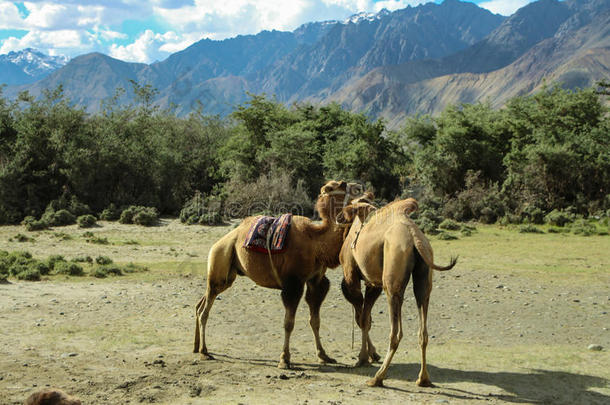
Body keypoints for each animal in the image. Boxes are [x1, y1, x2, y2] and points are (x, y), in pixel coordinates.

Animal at [192, 179, 358, 366]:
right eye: (337, 185)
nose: (357, 186)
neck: (316, 242)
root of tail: (216, 244)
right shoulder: (293, 283)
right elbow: (289, 323)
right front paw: (284, 359)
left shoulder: (315, 281)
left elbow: (315, 321)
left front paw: (323, 355)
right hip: (219, 260)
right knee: (205, 310)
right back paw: (204, 352)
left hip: (227, 275)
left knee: (200, 304)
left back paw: (196, 346)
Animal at [338, 197, 456, 386]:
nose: (338, 218)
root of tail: (415, 237)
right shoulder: (374, 283)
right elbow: (366, 318)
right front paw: (370, 355)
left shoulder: (352, 277)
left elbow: (362, 319)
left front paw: (363, 358)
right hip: (423, 277)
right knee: (423, 328)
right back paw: (423, 379)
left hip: (391, 282)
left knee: (395, 332)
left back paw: (377, 378)